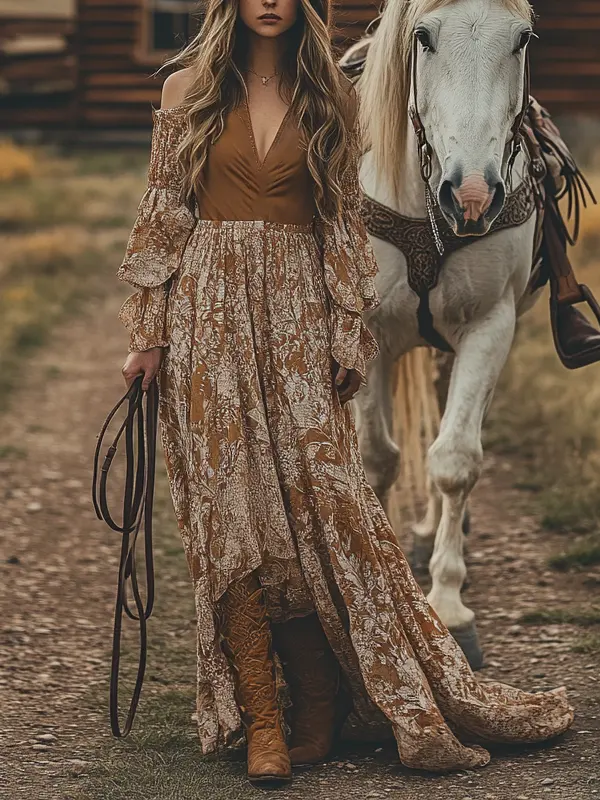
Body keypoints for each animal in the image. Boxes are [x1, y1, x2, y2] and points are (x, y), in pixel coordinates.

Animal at [352, 0, 540, 668]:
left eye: (522, 38)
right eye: (424, 37)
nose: (474, 196)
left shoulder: (490, 326)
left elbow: (455, 459)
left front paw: (449, 606)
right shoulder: (366, 333)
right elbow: (377, 457)